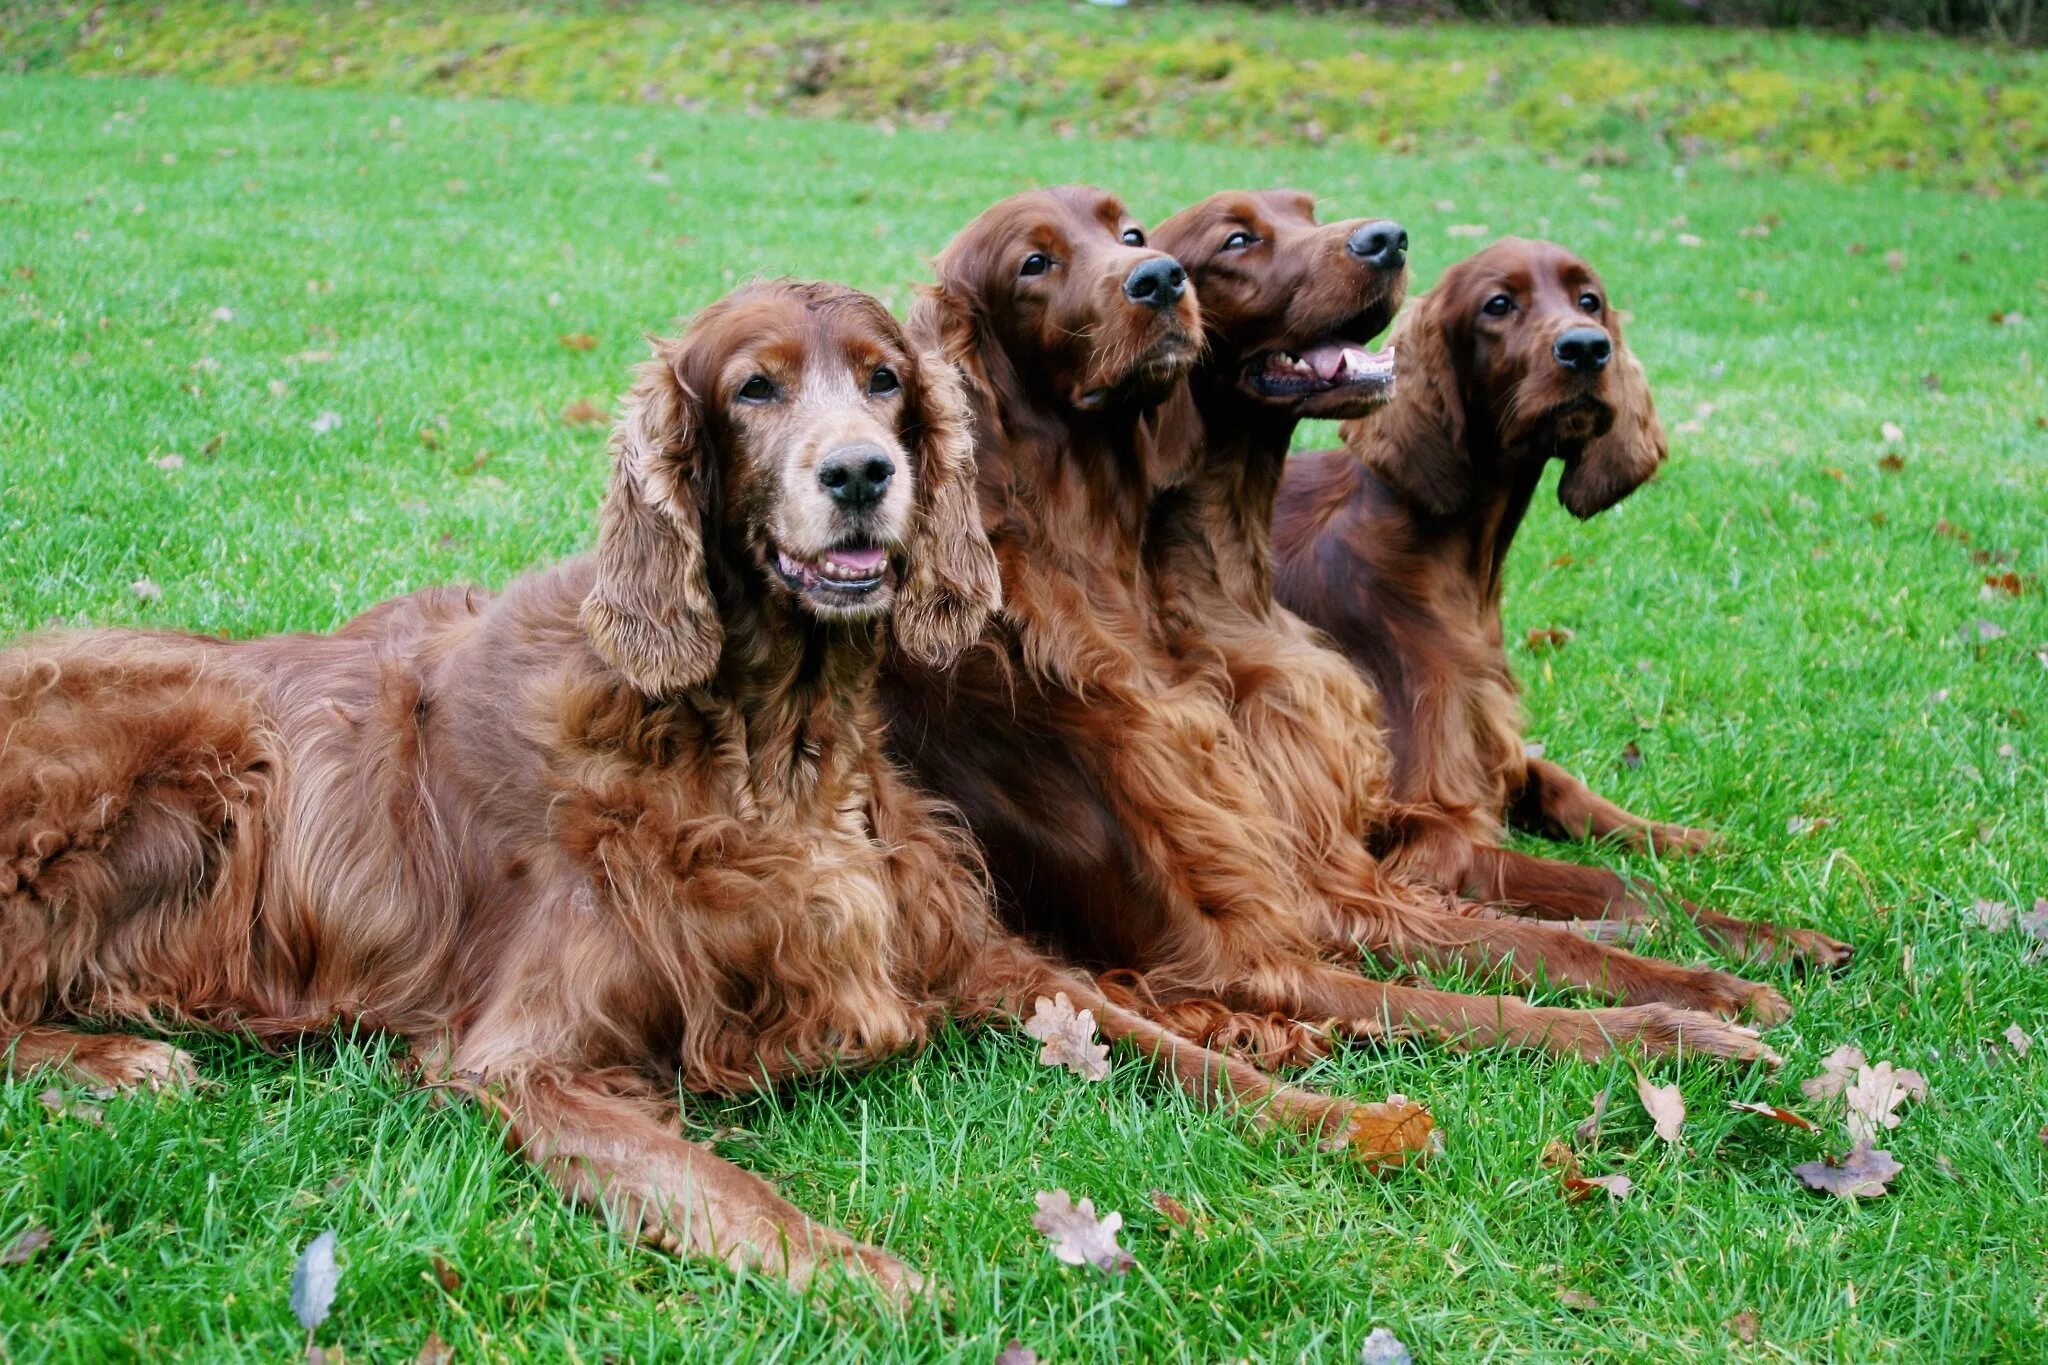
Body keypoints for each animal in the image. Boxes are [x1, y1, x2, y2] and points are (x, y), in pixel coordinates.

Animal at [1269, 242, 1851, 970]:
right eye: (1498, 304)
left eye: (1589, 301)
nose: (1586, 349)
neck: (1444, 560)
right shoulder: (1430, 836)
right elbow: (1620, 883)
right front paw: (1765, 934)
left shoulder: (1495, 742)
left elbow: (1558, 781)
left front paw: (1688, 837)